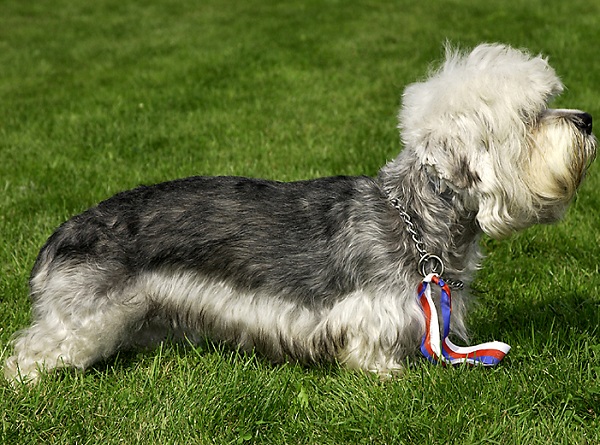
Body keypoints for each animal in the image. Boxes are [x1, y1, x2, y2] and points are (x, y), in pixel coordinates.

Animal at [3, 42, 596, 382]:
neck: (415, 215)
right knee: (29, 351)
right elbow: (373, 351)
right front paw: (389, 376)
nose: (588, 120)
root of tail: (62, 232)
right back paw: (28, 384)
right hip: (84, 318)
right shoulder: (374, 310)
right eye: (532, 115)